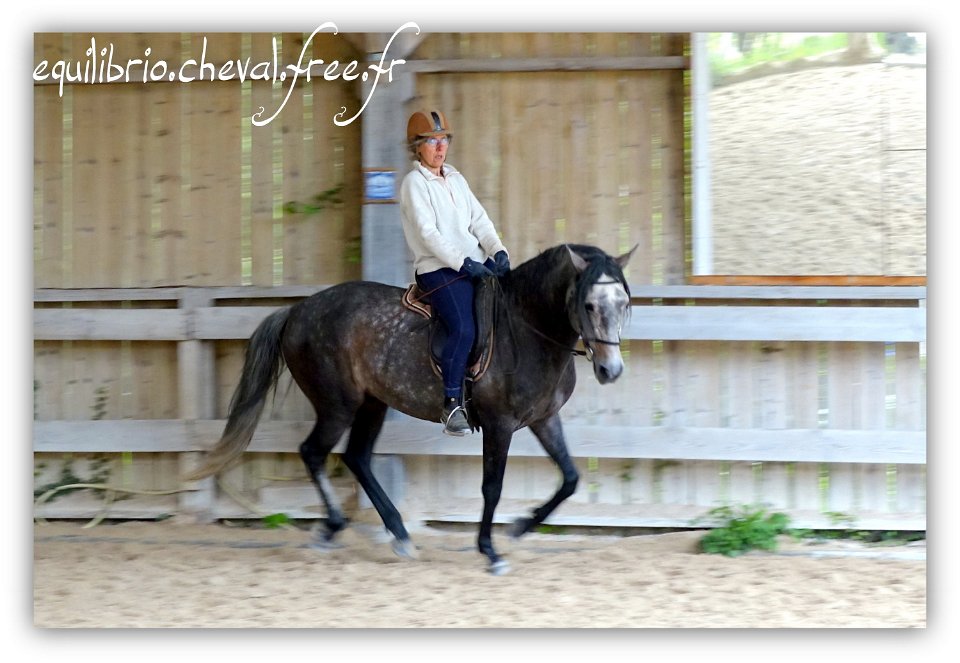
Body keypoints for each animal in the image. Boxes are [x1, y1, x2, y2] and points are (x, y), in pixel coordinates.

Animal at [188, 244, 636, 576]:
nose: (611, 370)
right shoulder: (500, 425)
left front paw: (522, 526)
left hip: (372, 404)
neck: (526, 328)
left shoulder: (543, 419)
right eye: (589, 304)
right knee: (313, 452)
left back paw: (400, 535)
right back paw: (332, 528)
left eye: (623, 302)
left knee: (357, 457)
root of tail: (297, 311)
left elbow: (571, 478)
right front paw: (490, 551)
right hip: (337, 405)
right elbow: (492, 487)